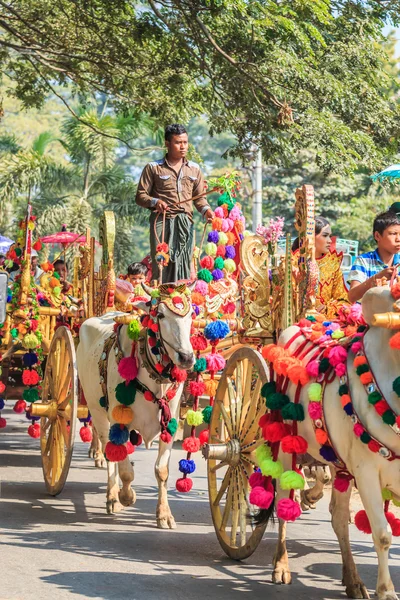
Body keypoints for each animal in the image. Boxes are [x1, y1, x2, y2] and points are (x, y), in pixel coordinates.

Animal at [77, 282, 195, 524]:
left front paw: (164, 514)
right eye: (160, 314)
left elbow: (162, 470)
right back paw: (113, 496)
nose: (187, 357)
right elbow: (125, 470)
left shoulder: (170, 423)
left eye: (191, 315)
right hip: (97, 410)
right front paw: (126, 496)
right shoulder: (118, 421)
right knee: (108, 452)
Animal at [256, 284, 400, 600]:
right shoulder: (367, 472)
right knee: (283, 502)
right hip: (285, 448)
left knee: (338, 518)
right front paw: (386, 591)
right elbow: (383, 534)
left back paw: (353, 580)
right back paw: (281, 565)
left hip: (339, 465)